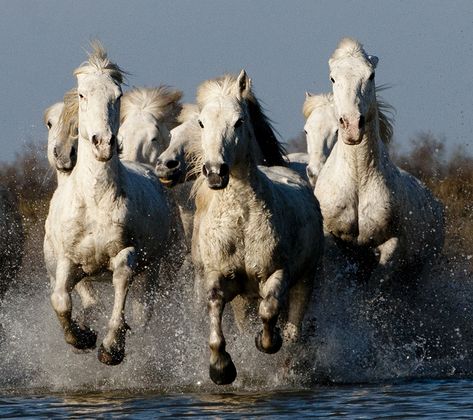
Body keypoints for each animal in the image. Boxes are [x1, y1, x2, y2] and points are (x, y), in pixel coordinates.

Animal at [45, 41, 177, 366]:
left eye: (117, 96)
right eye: (82, 95)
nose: (103, 143)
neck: (95, 202)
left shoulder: (126, 252)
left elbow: (121, 283)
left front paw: (111, 347)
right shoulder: (67, 259)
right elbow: (61, 300)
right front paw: (81, 337)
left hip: (153, 268)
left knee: (143, 309)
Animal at [190, 71, 322, 384]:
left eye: (239, 121)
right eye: (201, 122)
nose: (215, 173)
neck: (241, 221)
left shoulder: (277, 273)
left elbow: (270, 310)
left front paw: (266, 343)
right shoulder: (218, 277)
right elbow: (215, 313)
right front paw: (221, 369)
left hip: (306, 280)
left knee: (294, 330)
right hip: (243, 298)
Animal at [314, 38, 442, 282]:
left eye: (371, 75)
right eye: (333, 77)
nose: (352, 126)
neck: (357, 179)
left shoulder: (392, 244)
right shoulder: (334, 243)